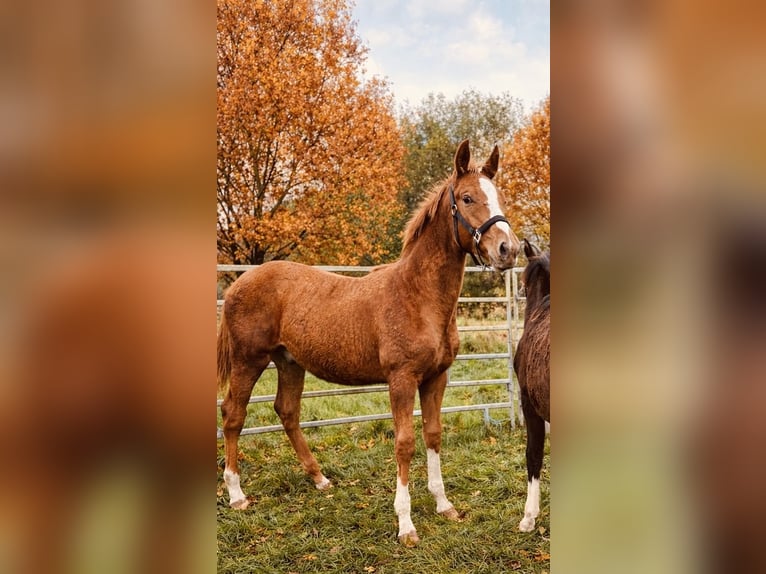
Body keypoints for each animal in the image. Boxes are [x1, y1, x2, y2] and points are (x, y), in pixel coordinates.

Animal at [217, 139, 520, 546]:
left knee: (287, 412)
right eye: (467, 198)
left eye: (498, 196)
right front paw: (406, 524)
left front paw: (444, 505)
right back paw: (236, 495)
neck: (418, 297)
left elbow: (434, 435)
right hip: (248, 360)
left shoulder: (437, 377)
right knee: (233, 414)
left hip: (289, 362)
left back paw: (320, 479)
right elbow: (405, 443)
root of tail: (238, 283)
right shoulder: (401, 379)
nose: (508, 249)